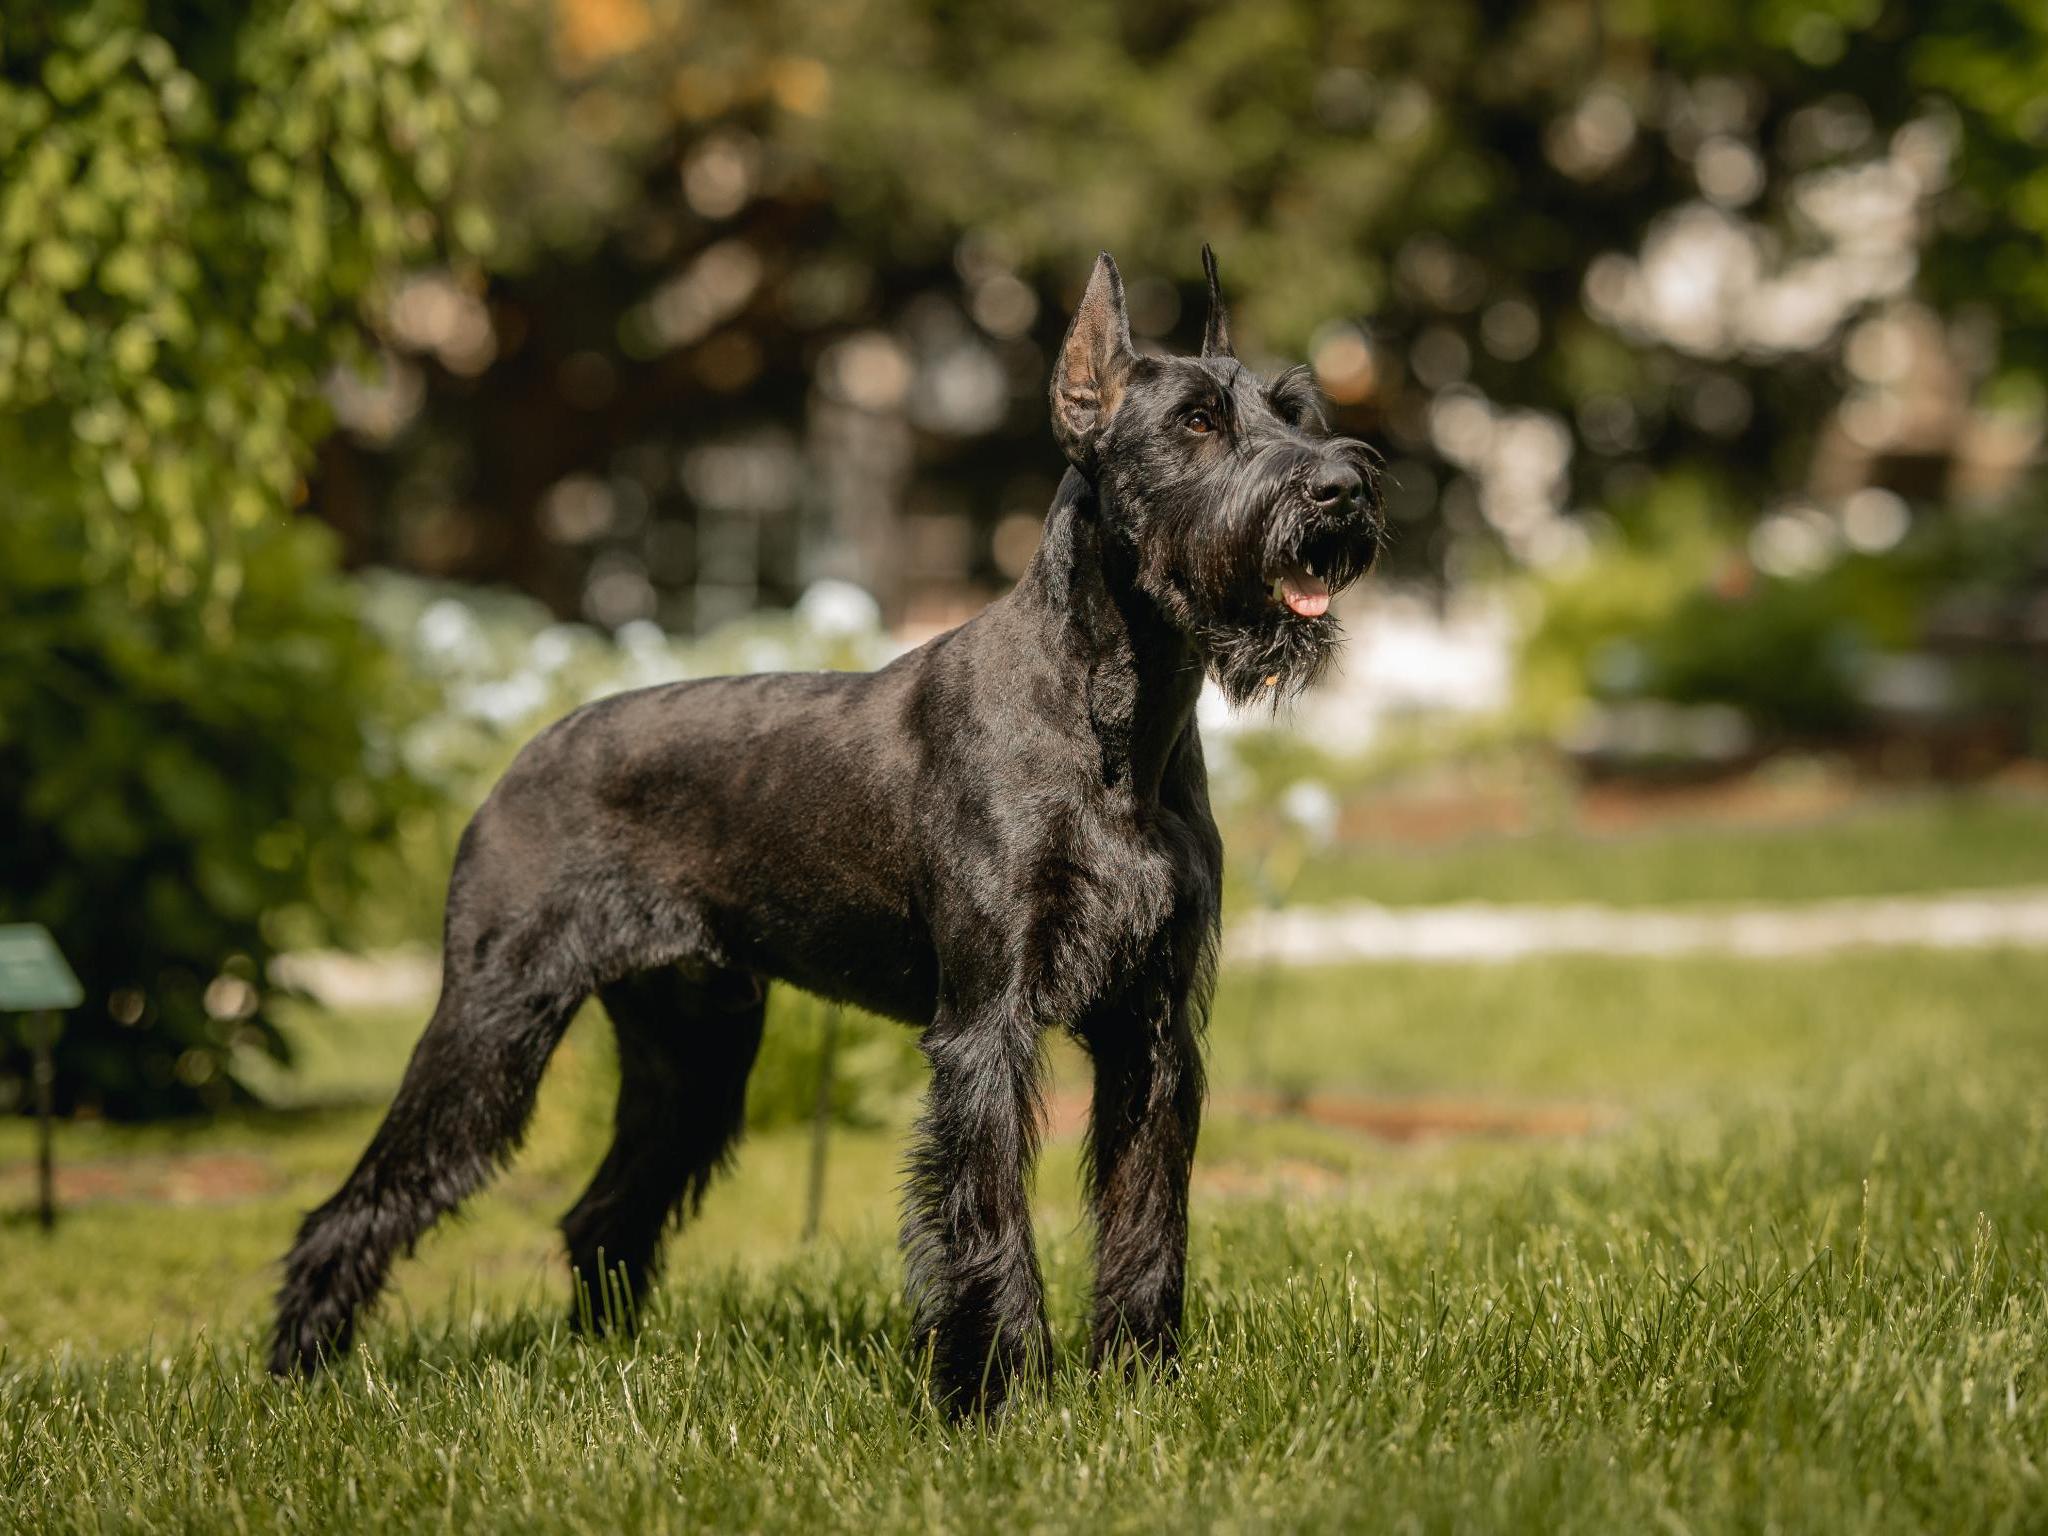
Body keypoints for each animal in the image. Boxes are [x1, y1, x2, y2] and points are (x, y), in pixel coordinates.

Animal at [272, 246, 1384, 1417]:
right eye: (1198, 421)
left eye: (1295, 410)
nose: (1342, 486)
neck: (1119, 717)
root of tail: (523, 754)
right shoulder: (985, 1022)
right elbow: (986, 1217)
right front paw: (993, 1398)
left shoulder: (1153, 1026)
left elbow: (1146, 1210)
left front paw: (1138, 1381)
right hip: (492, 1027)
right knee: (357, 1205)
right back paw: (299, 1378)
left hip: (693, 1053)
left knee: (604, 1212)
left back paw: (602, 1365)